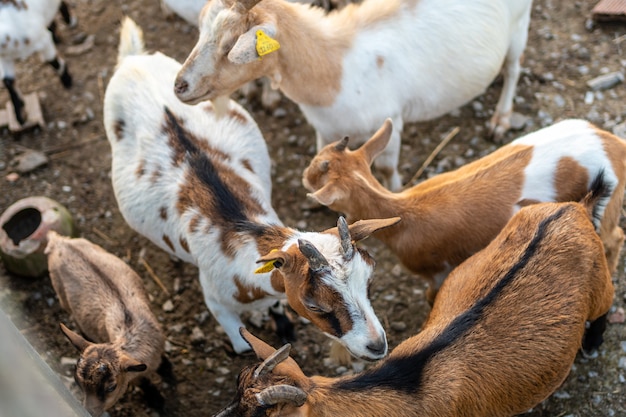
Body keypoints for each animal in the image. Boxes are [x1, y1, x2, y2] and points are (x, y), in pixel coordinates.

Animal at [102, 17, 394, 358]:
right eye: (314, 305)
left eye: (369, 282)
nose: (377, 346)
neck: (241, 234)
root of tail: (132, 60)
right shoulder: (217, 303)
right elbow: (244, 348)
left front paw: (283, 325)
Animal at [172, 0, 532, 190]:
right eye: (201, 28)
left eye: (231, 45)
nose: (180, 86)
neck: (334, 67)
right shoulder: (326, 126)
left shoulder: (392, 122)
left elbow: (385, 168)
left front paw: (396, 191)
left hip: (520, 26)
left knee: (514, 68)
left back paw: (500, 119)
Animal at [302, 118, 624, 304]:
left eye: (318, 174)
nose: (304, 175)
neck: (405, 213)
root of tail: (613, 143)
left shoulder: (437, 272)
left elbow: (432, 295)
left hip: (608, 206)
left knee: (615, 237)